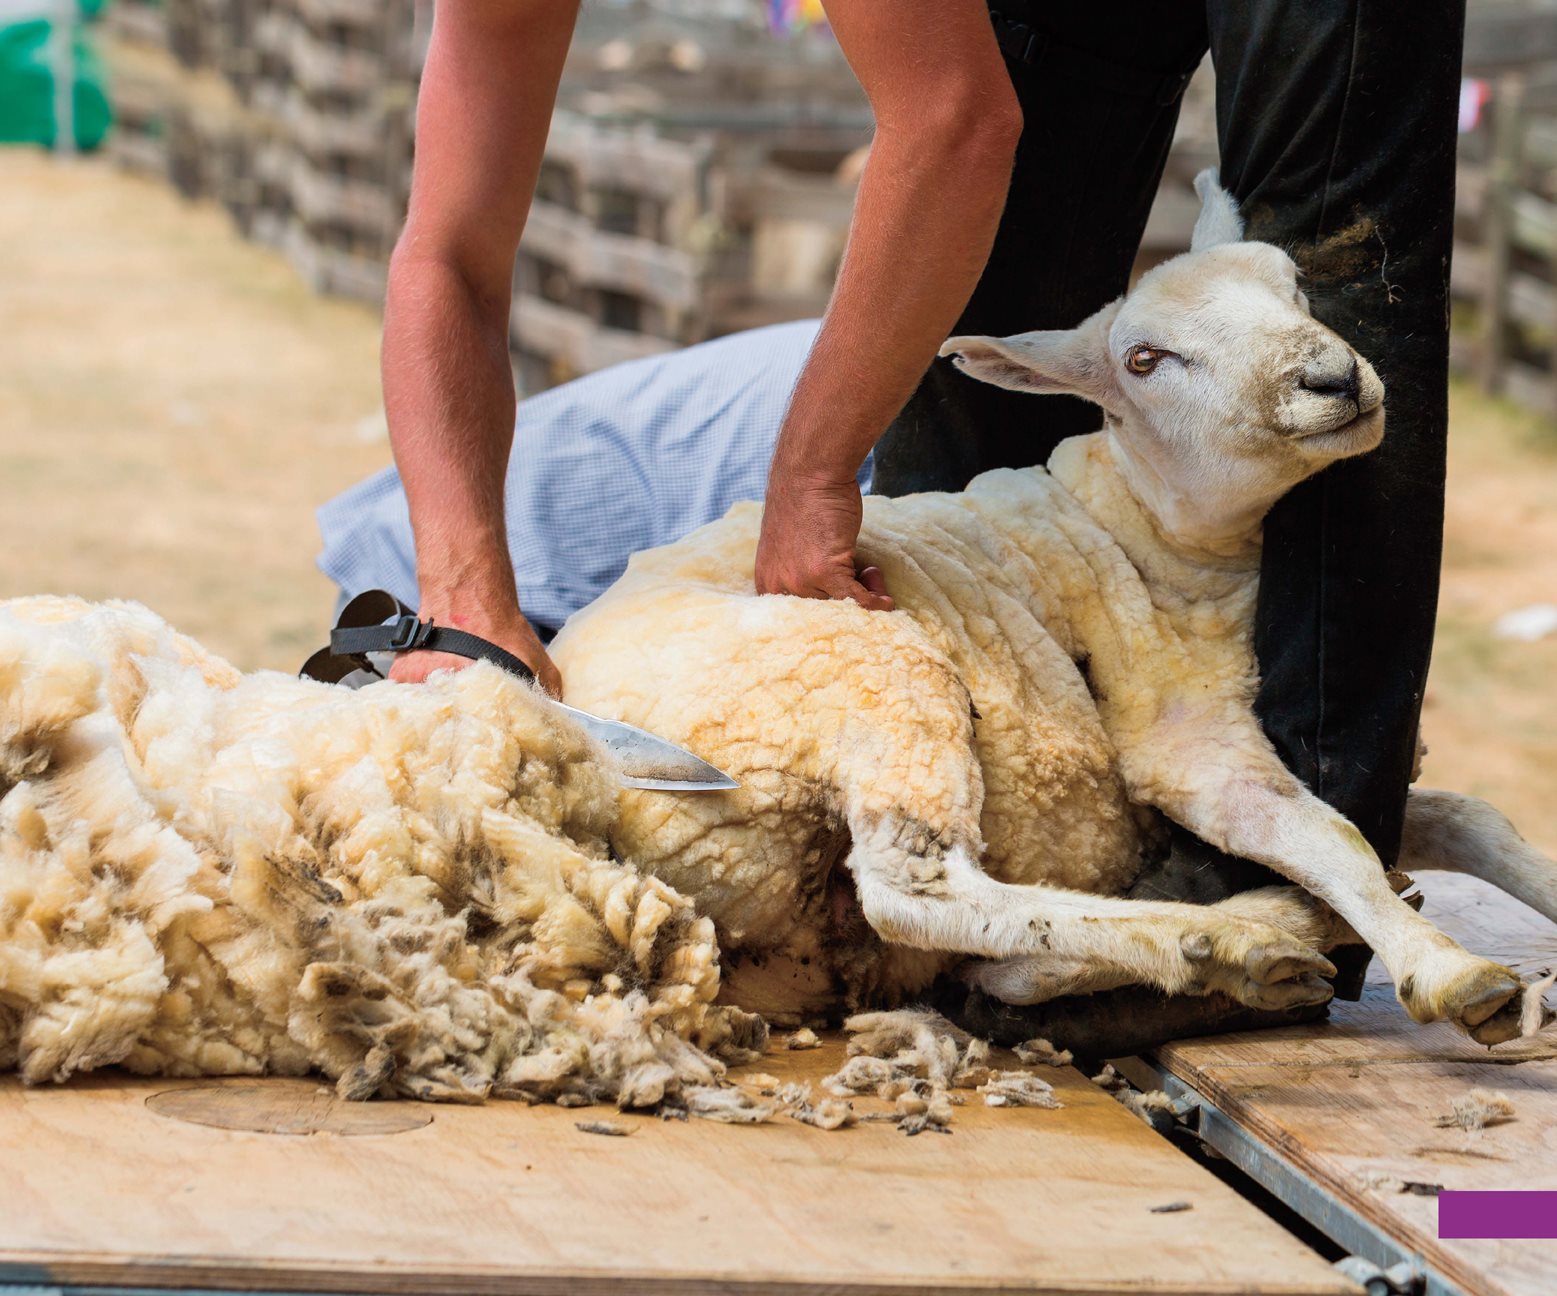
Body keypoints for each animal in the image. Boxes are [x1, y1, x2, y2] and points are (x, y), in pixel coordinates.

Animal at [557, 172, 1557, 1040]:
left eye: (1295, 287)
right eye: (1145, 361)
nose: (1332, 378)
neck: (1149, 530)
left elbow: (1467, 819)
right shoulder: (1182, 744)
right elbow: (1330, 834)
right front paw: (1451, 974)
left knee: (966, 959)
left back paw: (1243, 944)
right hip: (868, 673)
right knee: (921, 896)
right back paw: (1229, 934)